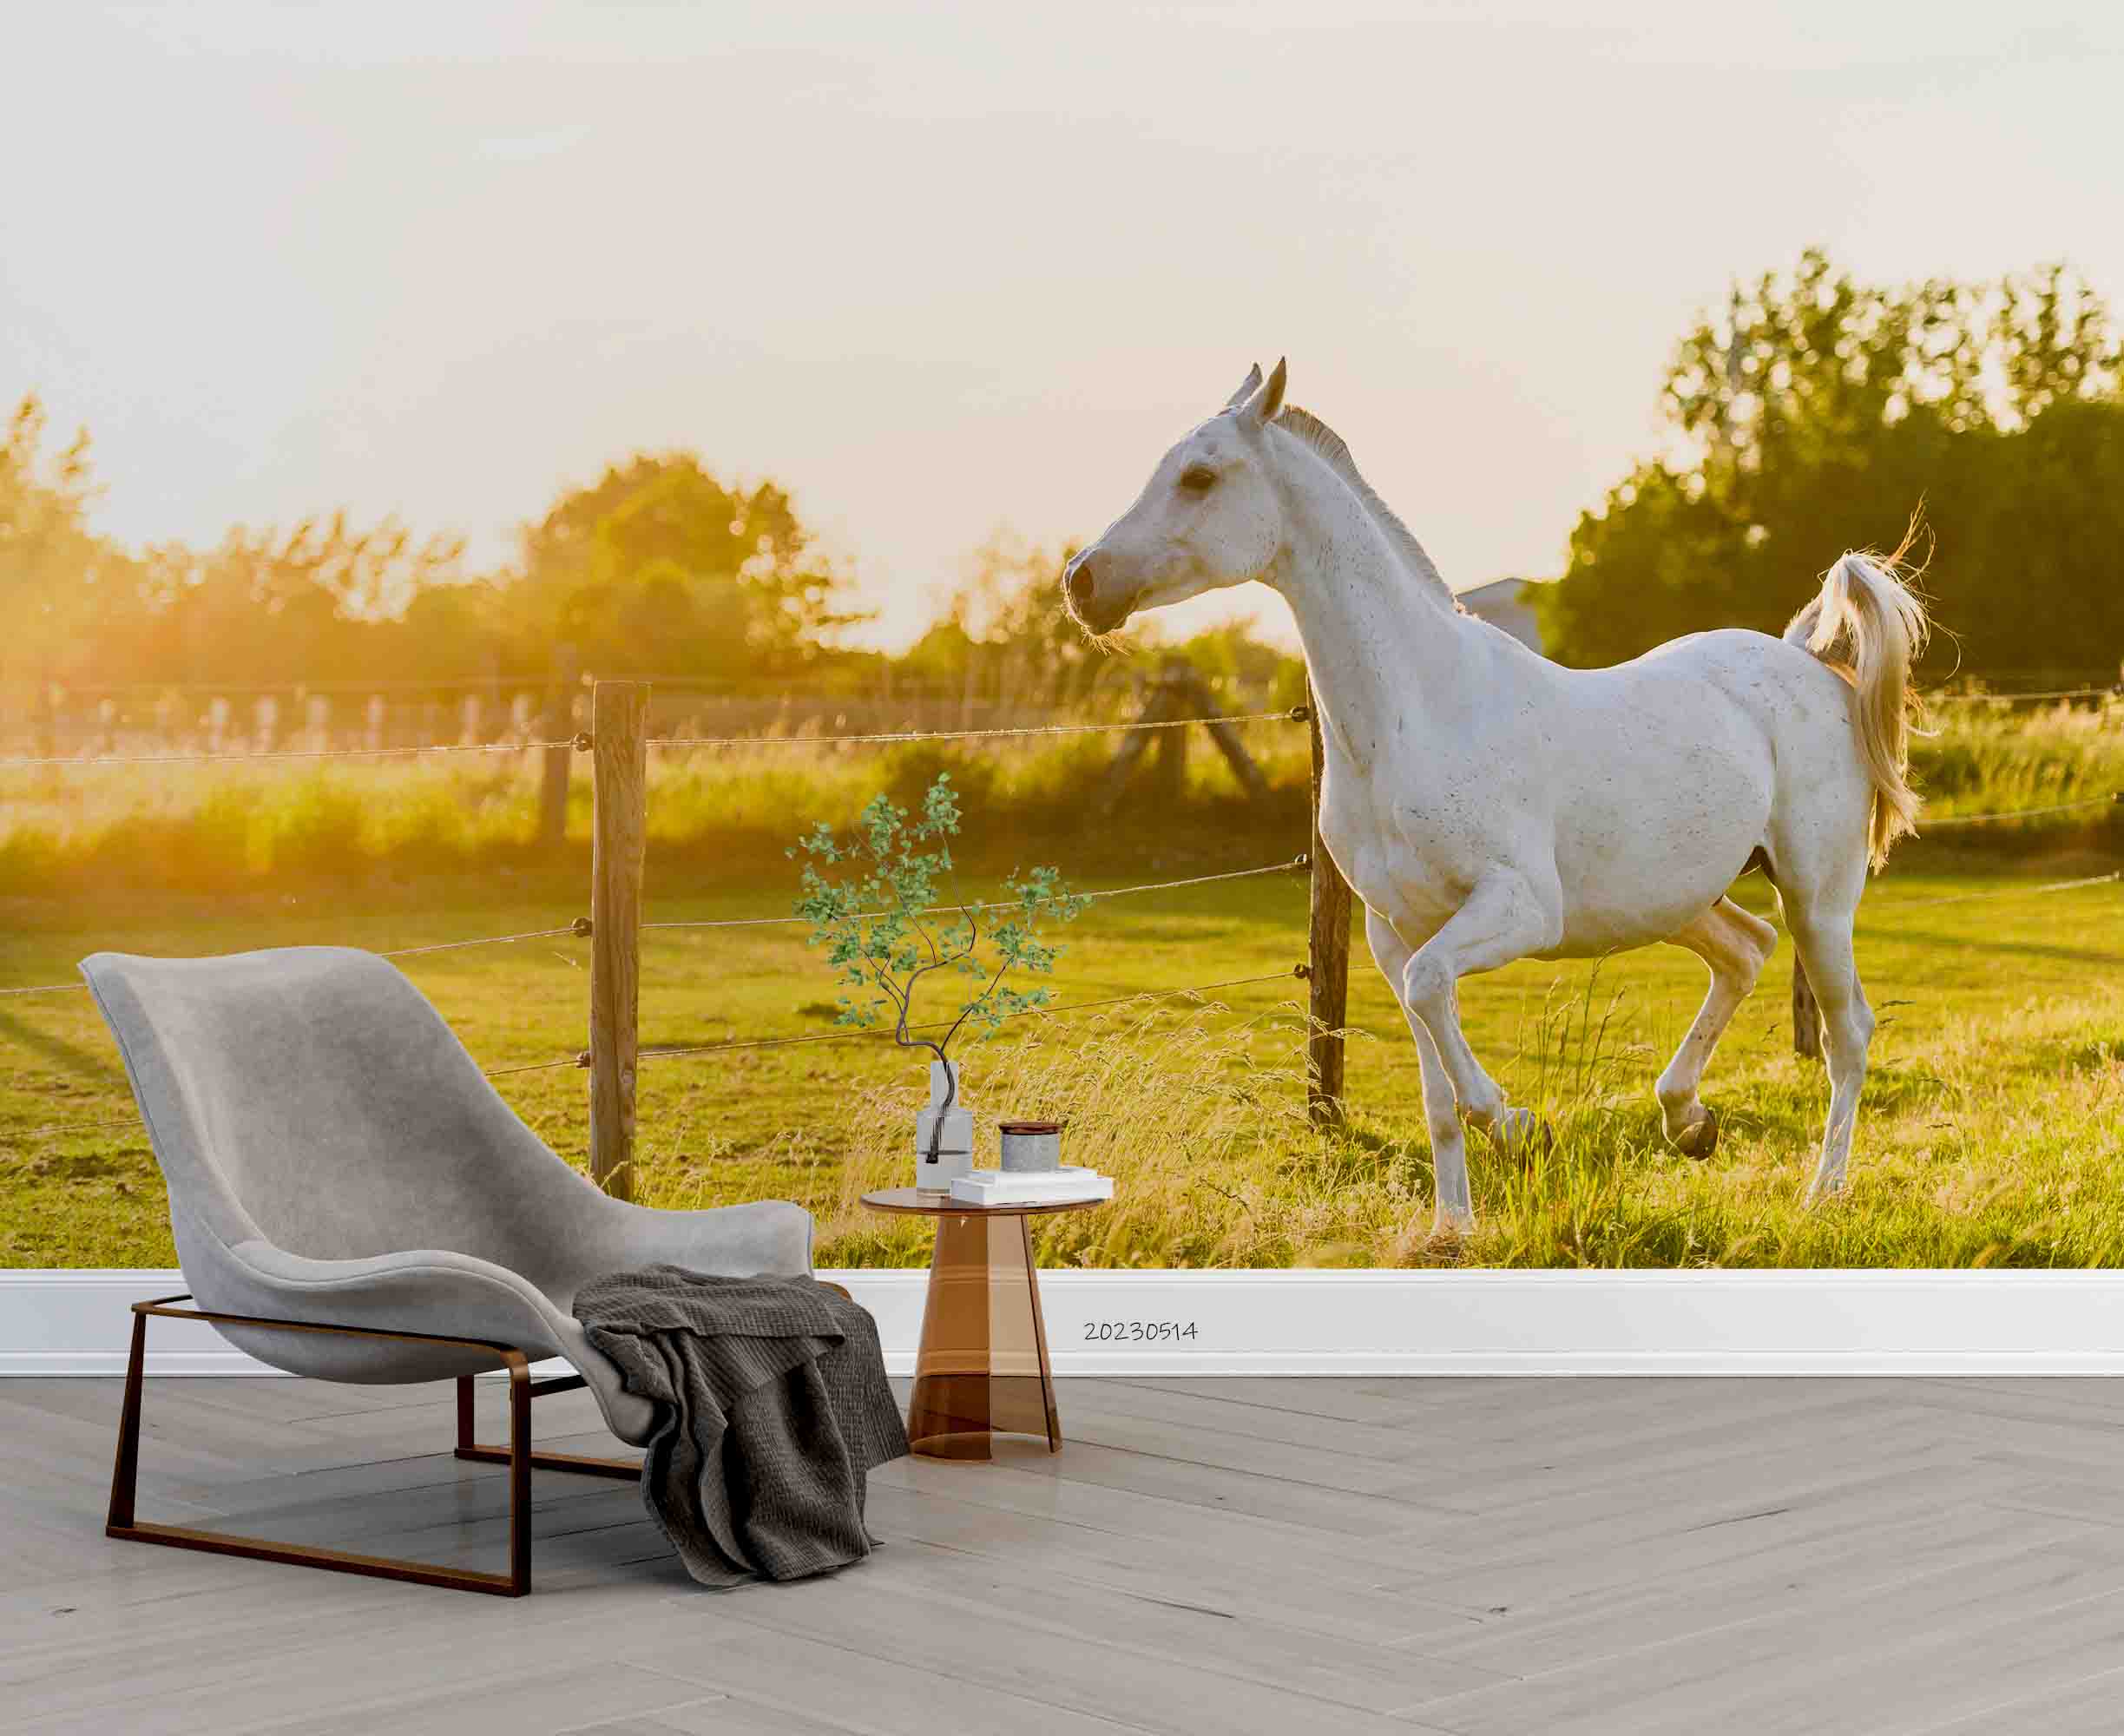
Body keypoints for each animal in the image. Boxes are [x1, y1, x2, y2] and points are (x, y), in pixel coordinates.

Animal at [1063, 359, 1928, 1235]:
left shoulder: (1514, 910)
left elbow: (1437, 1011)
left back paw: (1820, 1193)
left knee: (1846, 1033)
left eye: (1199, 477)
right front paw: (1451, 1229)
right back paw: (1688, 1122)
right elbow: (1434, 1087)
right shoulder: (1395, 933)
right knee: (1747, 950)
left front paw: (1519, 1129)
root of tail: (1807, 661)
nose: (1082, 582)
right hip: (1674, 900)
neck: (1415, 712)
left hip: (1817, 895)